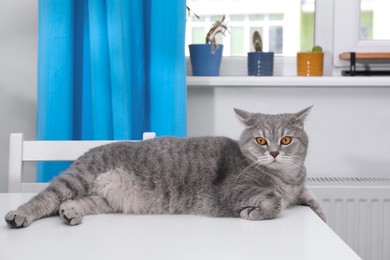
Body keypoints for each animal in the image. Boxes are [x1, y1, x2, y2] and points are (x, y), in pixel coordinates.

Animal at [4, 106, 324, 228]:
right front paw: (253, 212)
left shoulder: (299, 188)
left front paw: (319, 213)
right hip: (77, 179)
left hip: (104, 199)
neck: (286, 178)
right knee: (44, 199)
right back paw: (18, 215)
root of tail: (87, 152)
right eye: (260, 140)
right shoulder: (231, 191)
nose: (273, 152)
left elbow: (311, 199)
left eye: (286, 139)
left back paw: (70, 212)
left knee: (72, 203)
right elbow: (273, 201)